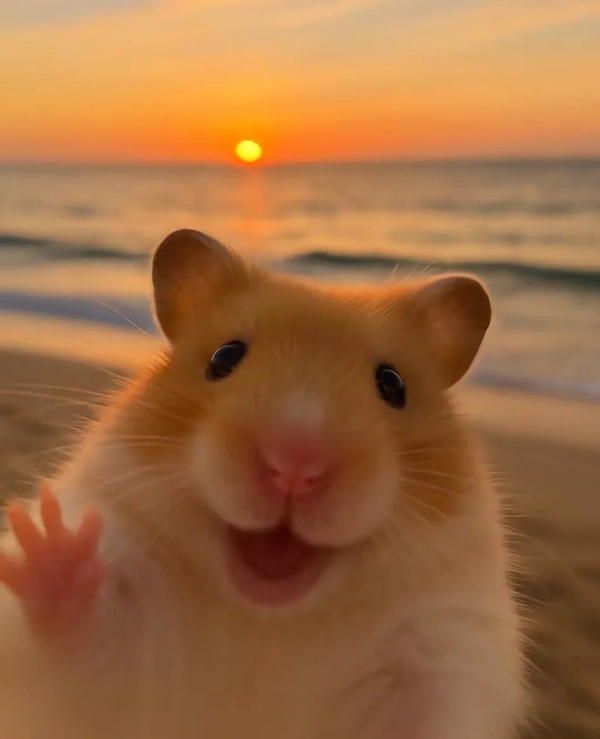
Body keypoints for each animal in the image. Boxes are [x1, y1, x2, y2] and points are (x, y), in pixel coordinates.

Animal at [0, 229, 525, 739]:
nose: (294, 466)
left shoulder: (444, 662)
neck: (268, 620)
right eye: (223, 357)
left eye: (393, 385)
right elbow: (83, 647)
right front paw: (52, 546)